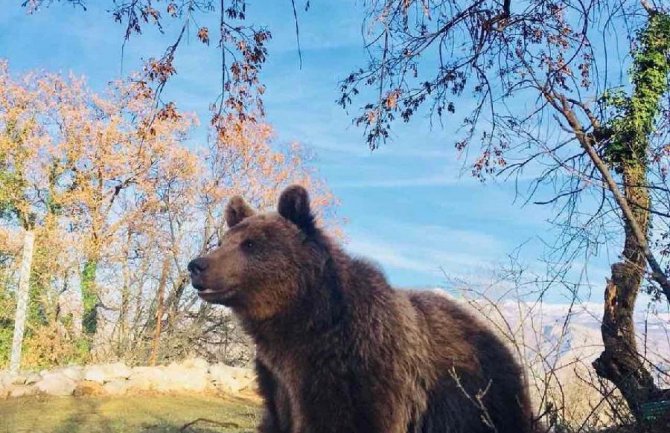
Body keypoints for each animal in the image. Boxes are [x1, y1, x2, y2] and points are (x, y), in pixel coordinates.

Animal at [189, 186, 536, 432]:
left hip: (480, 397)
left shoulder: (361, 373)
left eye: (250, 244)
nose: (197, 265)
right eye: (223, 241)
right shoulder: (279, 383)